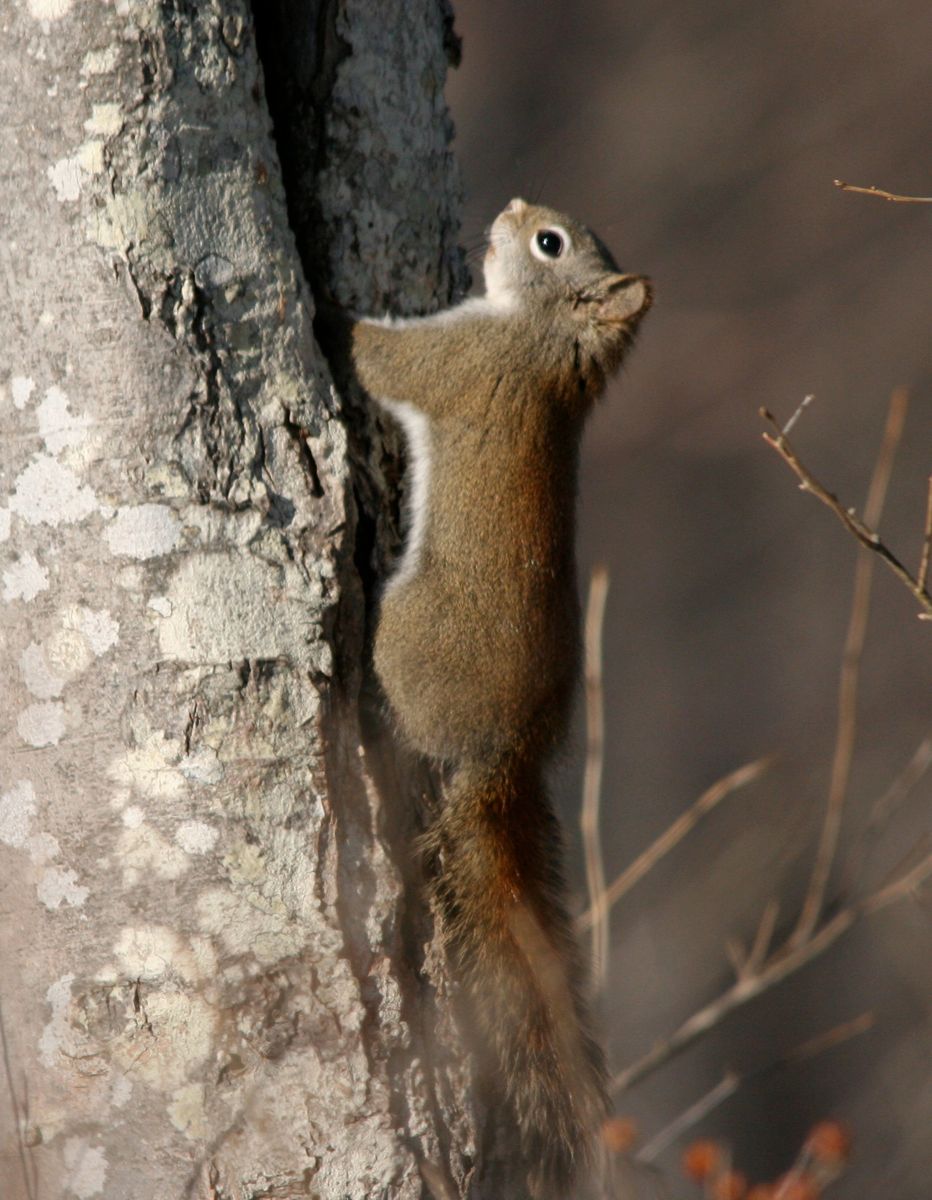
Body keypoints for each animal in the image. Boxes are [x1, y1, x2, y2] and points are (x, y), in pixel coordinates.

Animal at [316, 198, 651, 1198]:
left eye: (550, 244)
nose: (512, 208)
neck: (540, 341)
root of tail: (505, 756)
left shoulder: (458, 361)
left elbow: (383, 360)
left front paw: (319, 302)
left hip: (407, 638)